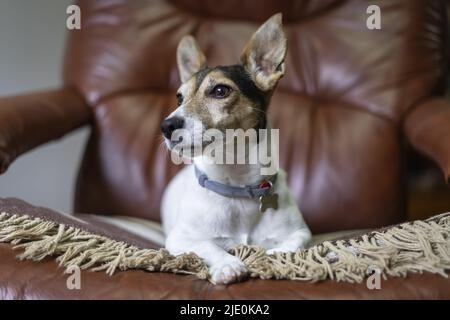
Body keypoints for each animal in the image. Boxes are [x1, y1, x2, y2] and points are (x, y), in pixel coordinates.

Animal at [160, 13, 312, 284]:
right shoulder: (179, 238)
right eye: (179, 97)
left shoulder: (301, 232)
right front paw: (228, 264)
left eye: (220, 90)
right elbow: (208, 245)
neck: (236, 184)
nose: (166, 126)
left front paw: (271, 255)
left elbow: (289, 246)